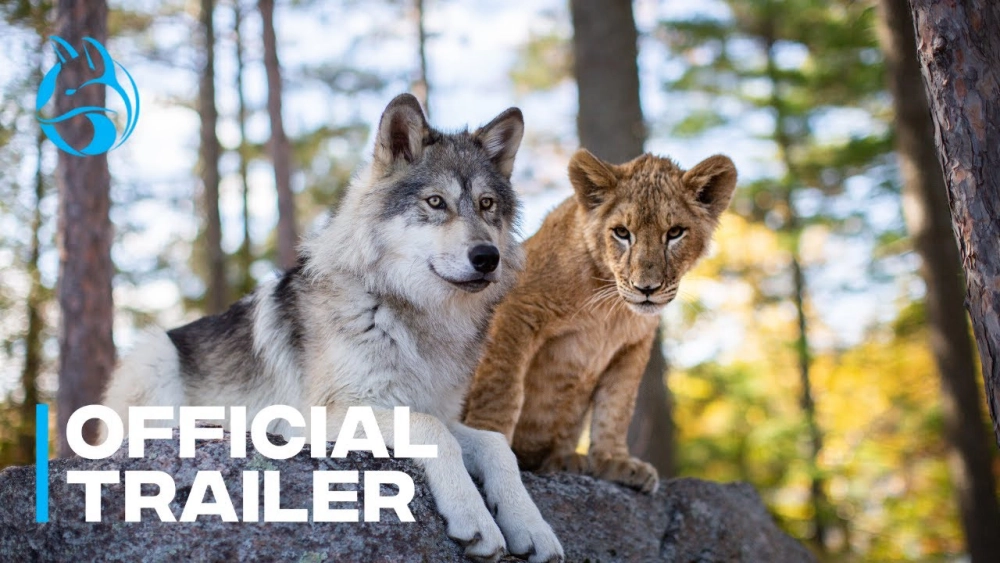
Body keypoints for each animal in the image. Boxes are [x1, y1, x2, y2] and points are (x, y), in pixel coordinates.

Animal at [102, 94, 564, 562]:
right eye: (436, 202)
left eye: (487, 205)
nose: (488, 257)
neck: (411, 315)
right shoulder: (315, 417)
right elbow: (430, 430)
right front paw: (476, 518)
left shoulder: (434, 408)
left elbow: (496, 444)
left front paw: (531, 526)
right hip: (154, 354)